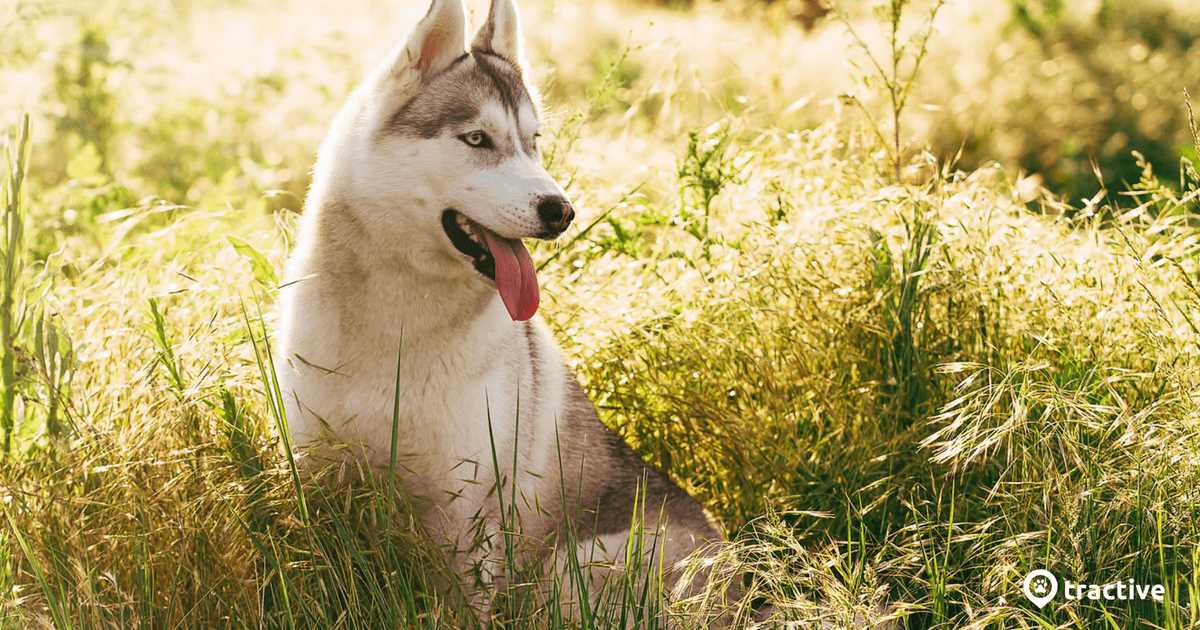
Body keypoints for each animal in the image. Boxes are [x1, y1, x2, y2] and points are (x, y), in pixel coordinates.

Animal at [276, 0, 715, 612]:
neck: (398, 325)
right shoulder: (320, 477)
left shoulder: (466, 518)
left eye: (534, 141)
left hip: (573, 565)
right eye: (478, 139)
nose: (561, 210)